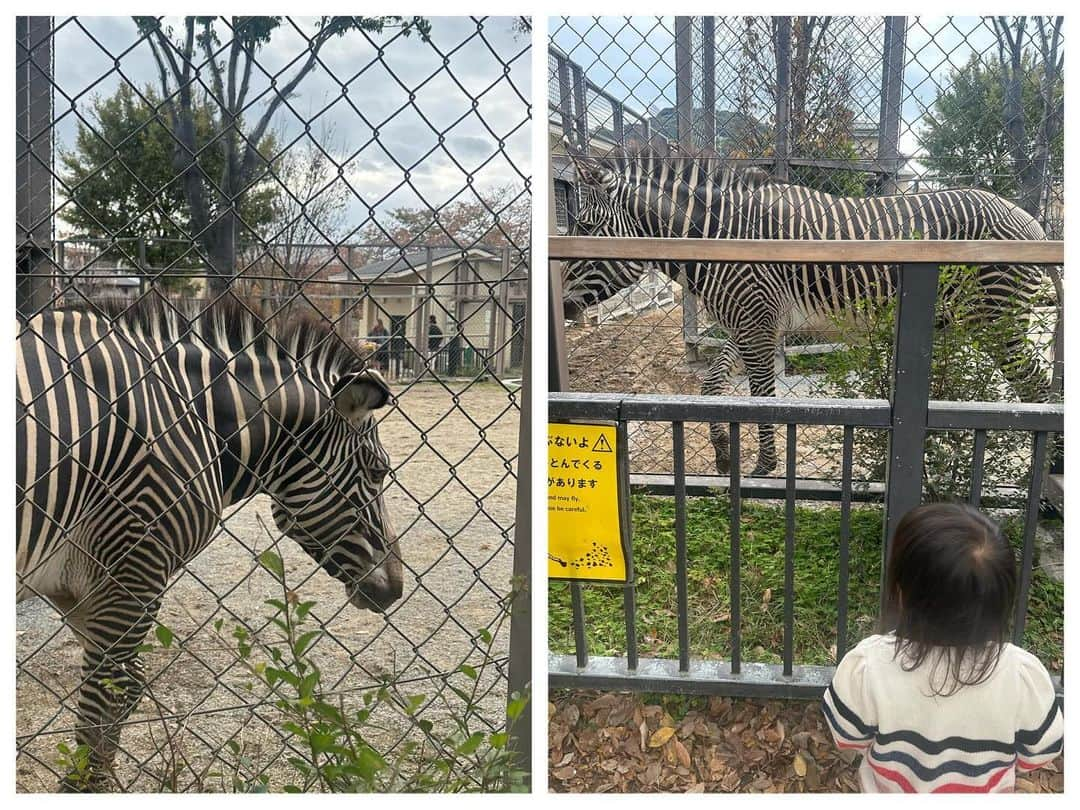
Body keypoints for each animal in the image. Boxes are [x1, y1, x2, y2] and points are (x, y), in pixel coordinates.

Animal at [15, 293, 406, 794]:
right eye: (378, 471)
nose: (395, 590)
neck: (193, 419)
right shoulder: (135, 565)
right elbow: (109, 694)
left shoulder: (79, 582)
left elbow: (124, 687)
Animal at [561, 144, 1058, 475]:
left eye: (584, 228)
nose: (563, 307)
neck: (719, 240)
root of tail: (1031, 221)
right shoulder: (744, 323)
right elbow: (711, 387)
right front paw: (723, 453)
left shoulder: (757, 323)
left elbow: (762, 400)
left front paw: (764, 467)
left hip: (997, 320)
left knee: (1036, 388)